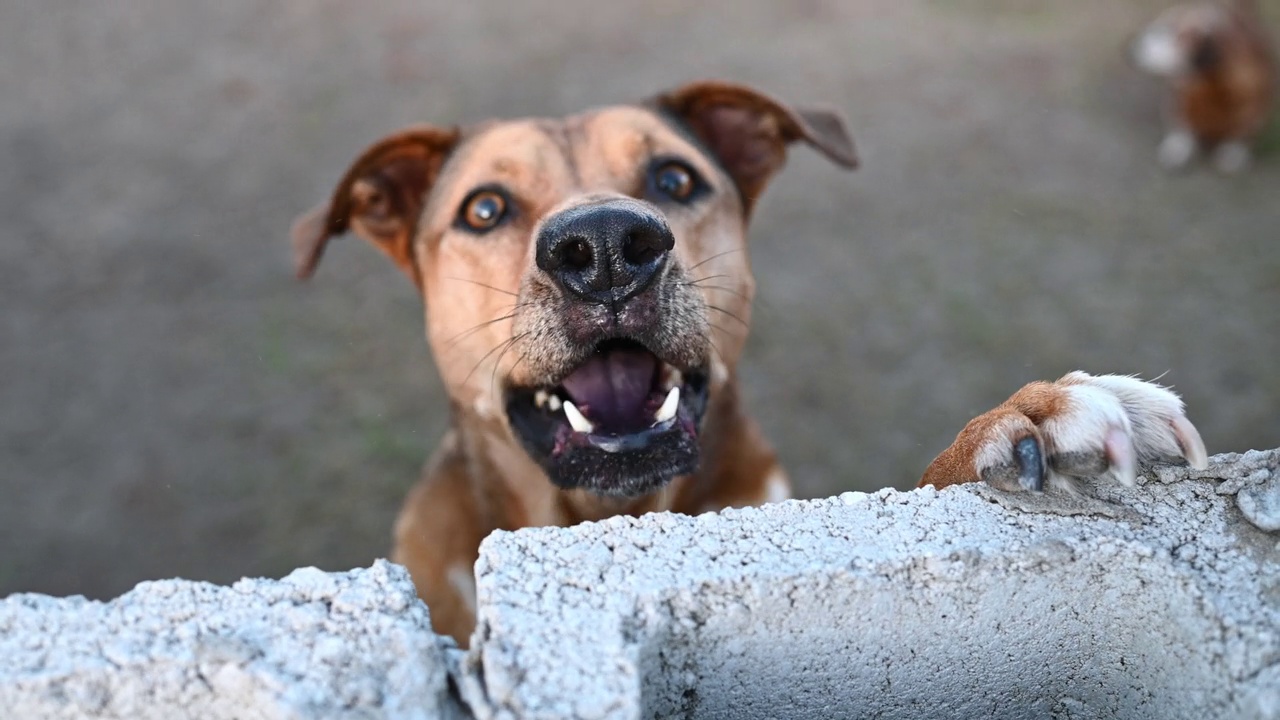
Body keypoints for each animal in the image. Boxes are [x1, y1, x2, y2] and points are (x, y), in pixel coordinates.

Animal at [1136, 0, 1274, 172]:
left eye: (1162, 31)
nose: (1128, 50)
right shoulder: (1179, 97)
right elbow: (1181, 126)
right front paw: (1176, 149)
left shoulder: (1252, 107)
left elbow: (1242, 131)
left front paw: (1232, 154)